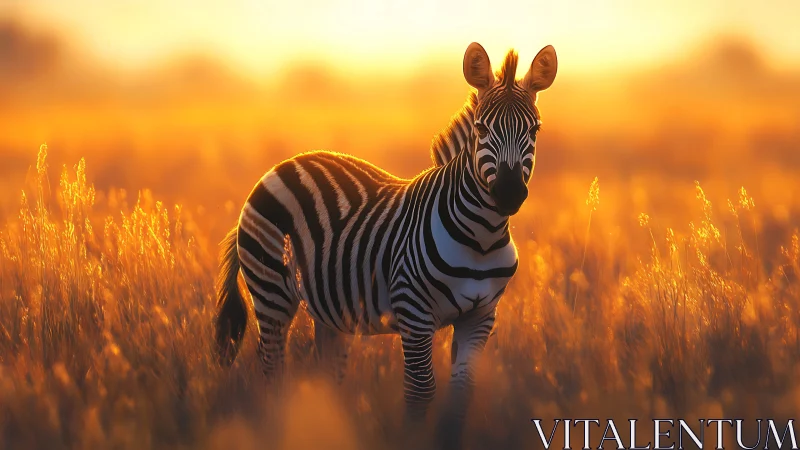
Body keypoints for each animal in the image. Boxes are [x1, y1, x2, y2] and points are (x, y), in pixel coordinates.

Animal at [214, 42, 558, 448]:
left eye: (534, 129)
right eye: (481, 128)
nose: (508, 193)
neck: (482, 238)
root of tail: (283, 165)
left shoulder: (481, 316)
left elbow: (462, 390)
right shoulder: (414, 313)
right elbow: (420, 391)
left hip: (328, 308)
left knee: (324, 373)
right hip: (271, 292)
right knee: (272, 367)